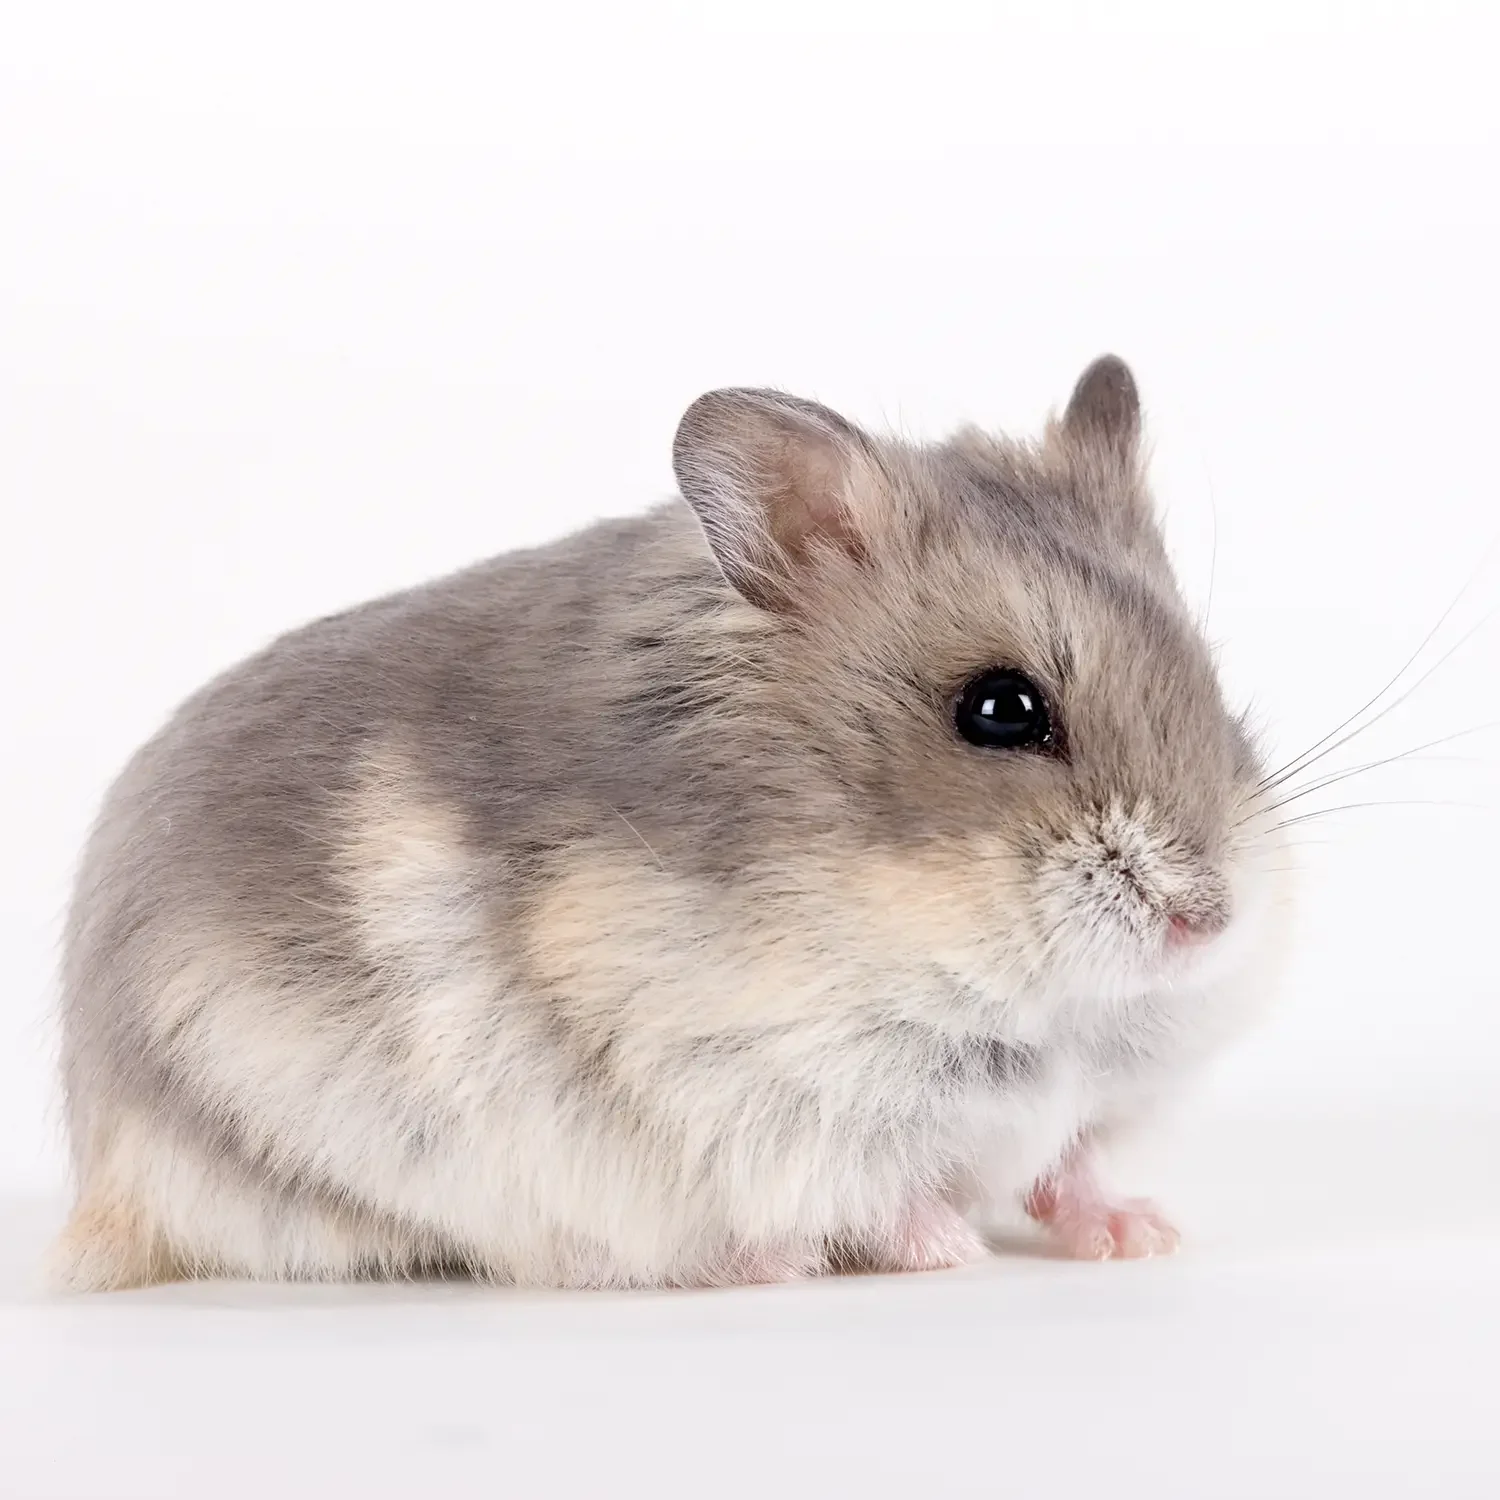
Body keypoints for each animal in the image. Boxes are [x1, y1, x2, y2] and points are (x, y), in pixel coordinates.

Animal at [51, 356, 1290, 1290]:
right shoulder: (755, 1094)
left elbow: (1069, 1161)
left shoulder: (1089, 1095)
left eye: (1210, 680)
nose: (1207, 921)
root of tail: (101, 1180)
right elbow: (880, 1192)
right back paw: (773, 1264)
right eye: (999, 709)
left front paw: (1142, 1236)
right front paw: (948, 1252)